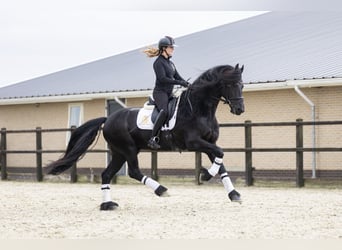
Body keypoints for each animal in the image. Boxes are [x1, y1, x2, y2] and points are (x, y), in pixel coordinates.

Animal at [46, 63, 246, 210]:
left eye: (242, 85)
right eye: (229, 85)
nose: (239, 109)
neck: (199, 110)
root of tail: (108, 118)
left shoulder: (209, 142)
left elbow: (221, 162)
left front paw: (233, 194)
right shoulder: (194, 142)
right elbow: (220, 153)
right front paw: (205, 175)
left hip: (119, 152)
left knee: (107, 174)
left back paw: (108, 204)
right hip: (128, 149)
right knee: (133, 171)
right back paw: (161, 190)